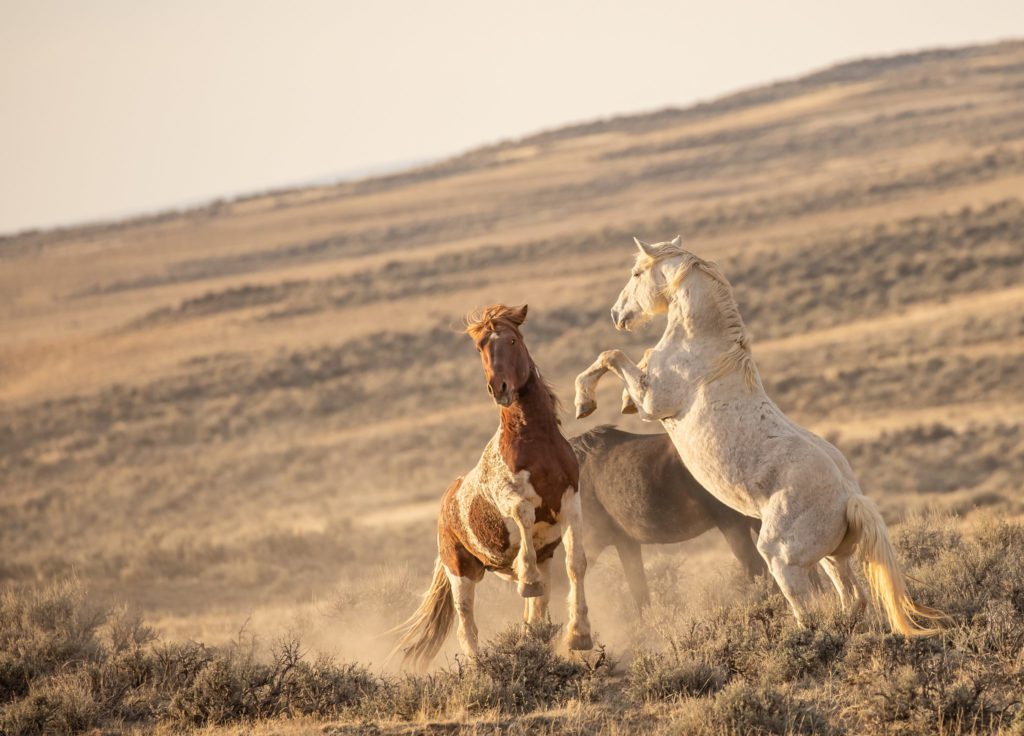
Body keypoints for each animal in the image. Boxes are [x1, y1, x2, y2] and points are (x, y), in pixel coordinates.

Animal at [391, 302, 593, 671]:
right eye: (480, 347)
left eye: (512, 340)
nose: (498, 387)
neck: (535, 442)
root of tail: (445, 505)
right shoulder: (508, 496)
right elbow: (524, 513)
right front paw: (528, 580)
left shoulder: (571, 501)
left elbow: (576, 564)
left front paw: (580, 636)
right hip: (461, 573)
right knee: (467, 627)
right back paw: (479, 670)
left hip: (529, 562)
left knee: (533, 617)